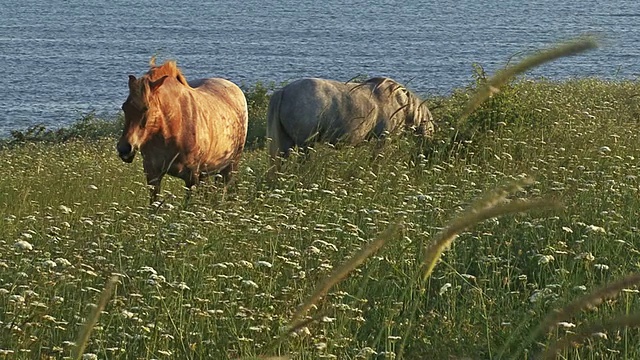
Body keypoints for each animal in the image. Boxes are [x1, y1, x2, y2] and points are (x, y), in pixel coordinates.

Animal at [116, 60, 249, 204]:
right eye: (124, 107)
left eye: (146, 108)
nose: (124, 149)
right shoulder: (152, 174)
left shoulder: (191, 177)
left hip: (229, 168)